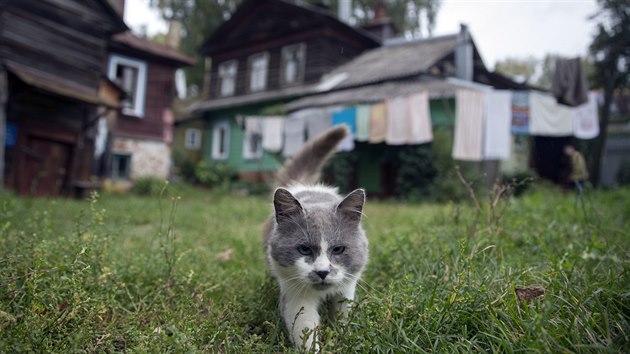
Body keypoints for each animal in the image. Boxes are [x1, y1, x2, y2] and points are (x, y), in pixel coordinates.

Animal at [262, 124, 370, 348]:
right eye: (304, 249)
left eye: (338, 249)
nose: (322, 272)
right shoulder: (297, 298)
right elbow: (306, 332)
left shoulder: (347, 289)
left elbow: (343, 317)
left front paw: (343, 337)